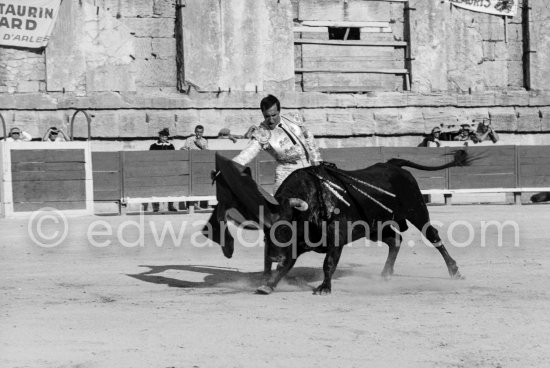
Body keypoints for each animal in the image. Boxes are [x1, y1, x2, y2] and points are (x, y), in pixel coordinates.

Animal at [205, 151, 472, 294]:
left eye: (286, 226)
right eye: (265, 231)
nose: (271, 256)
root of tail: (391, 165)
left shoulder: (336, 238)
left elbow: (329, 263)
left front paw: (324, 288)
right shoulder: (296, 246)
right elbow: (286, 266)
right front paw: (267, 285)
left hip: (417, 211)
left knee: (434, 237)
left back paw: (455, 271)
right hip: (374, 226)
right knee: (394, 240)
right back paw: (385, 274)